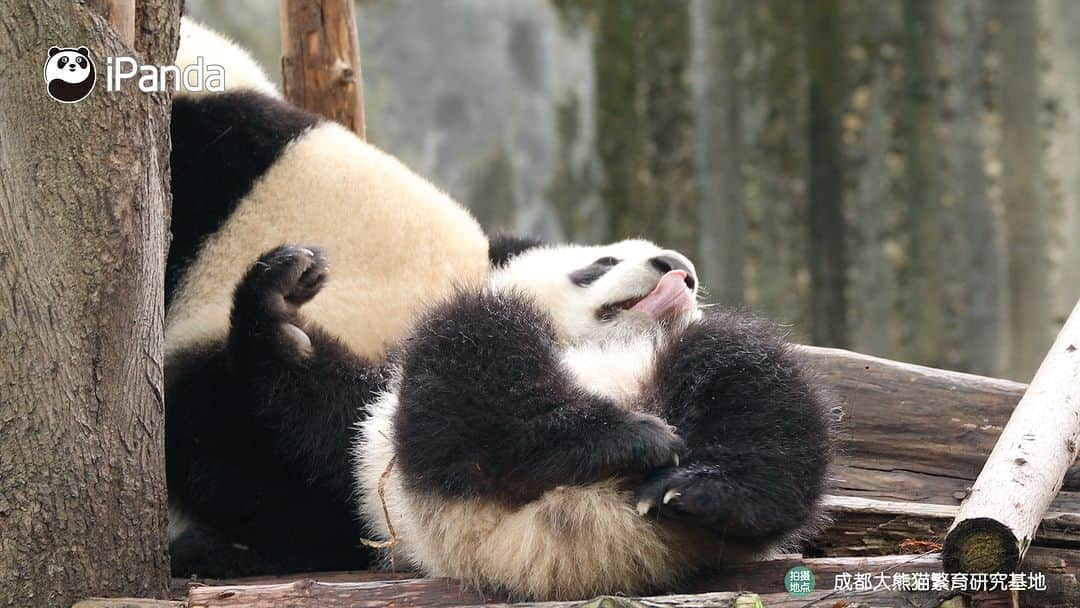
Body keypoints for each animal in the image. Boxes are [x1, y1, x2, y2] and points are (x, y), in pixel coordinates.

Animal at [166, 17, 833, 600]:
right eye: (599, 263)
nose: (678, 267)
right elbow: (287, 458)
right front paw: (281, 316)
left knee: (749, 381)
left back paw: (692, 480)